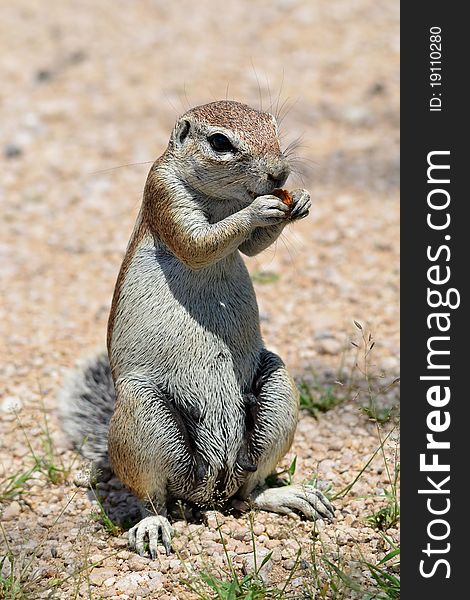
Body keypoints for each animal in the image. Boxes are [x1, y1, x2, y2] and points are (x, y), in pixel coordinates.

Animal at [57, 99, 334, 556]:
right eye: (220, 143)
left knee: (251, 491)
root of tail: (208, 492)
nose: (280, 174)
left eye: (274, 127)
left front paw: (300, 201)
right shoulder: (164, 194)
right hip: (143, 418)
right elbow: (198, 242)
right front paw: (259, 210)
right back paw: (152, 526)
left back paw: (287, 495)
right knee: (152, 498)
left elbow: (252, 248)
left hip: (275, 391)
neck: (224, 199)